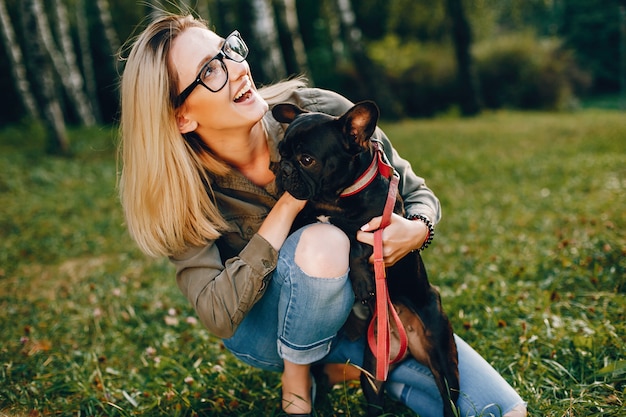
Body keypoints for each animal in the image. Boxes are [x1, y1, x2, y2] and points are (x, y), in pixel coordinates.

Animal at [272, 101, 458, 416]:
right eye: (280, 152)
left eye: (306, 160)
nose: (282, 168)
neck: (337, 197)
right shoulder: (309, 214)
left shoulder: (382, 226)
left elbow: (358, 245)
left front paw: (361, 281)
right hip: (372, 372)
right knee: (375, 398)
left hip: (444, 358)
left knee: (449, 397)